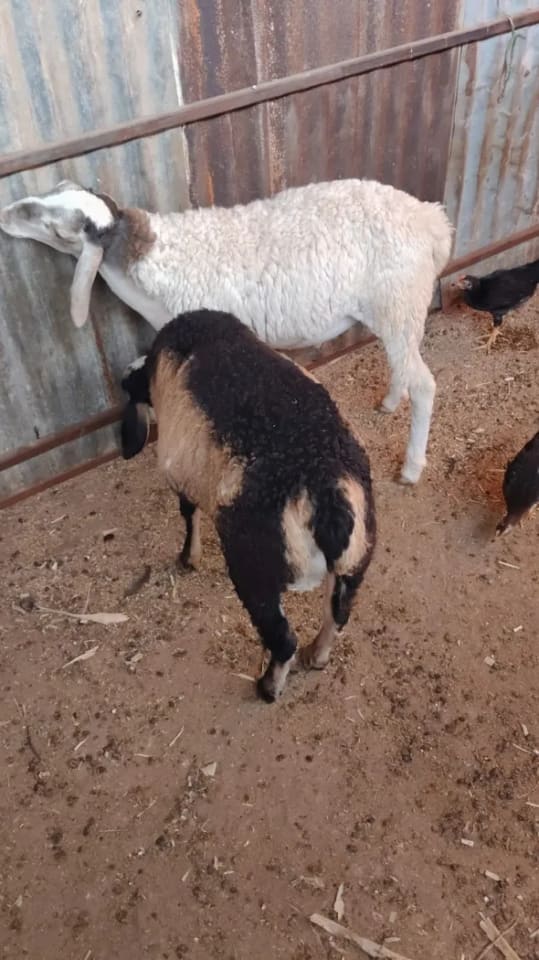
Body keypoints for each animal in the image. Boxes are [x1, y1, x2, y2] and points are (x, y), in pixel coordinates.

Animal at [0, 177, 453, 484]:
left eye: (61, 230)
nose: (5, 214)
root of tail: (432, 220)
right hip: (396, 312)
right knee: (404, 366)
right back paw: (391, 401)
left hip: (399, 302)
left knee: (426, 384)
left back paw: (412, 466)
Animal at [119, 308, 376, 702]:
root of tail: (327, 498)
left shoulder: (182, 477)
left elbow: (188, 513)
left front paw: (188, 558)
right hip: (355, 560)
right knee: (338, 614)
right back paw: (316, 657)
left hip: (256, 570)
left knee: (283, 639)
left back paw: (268, 687)